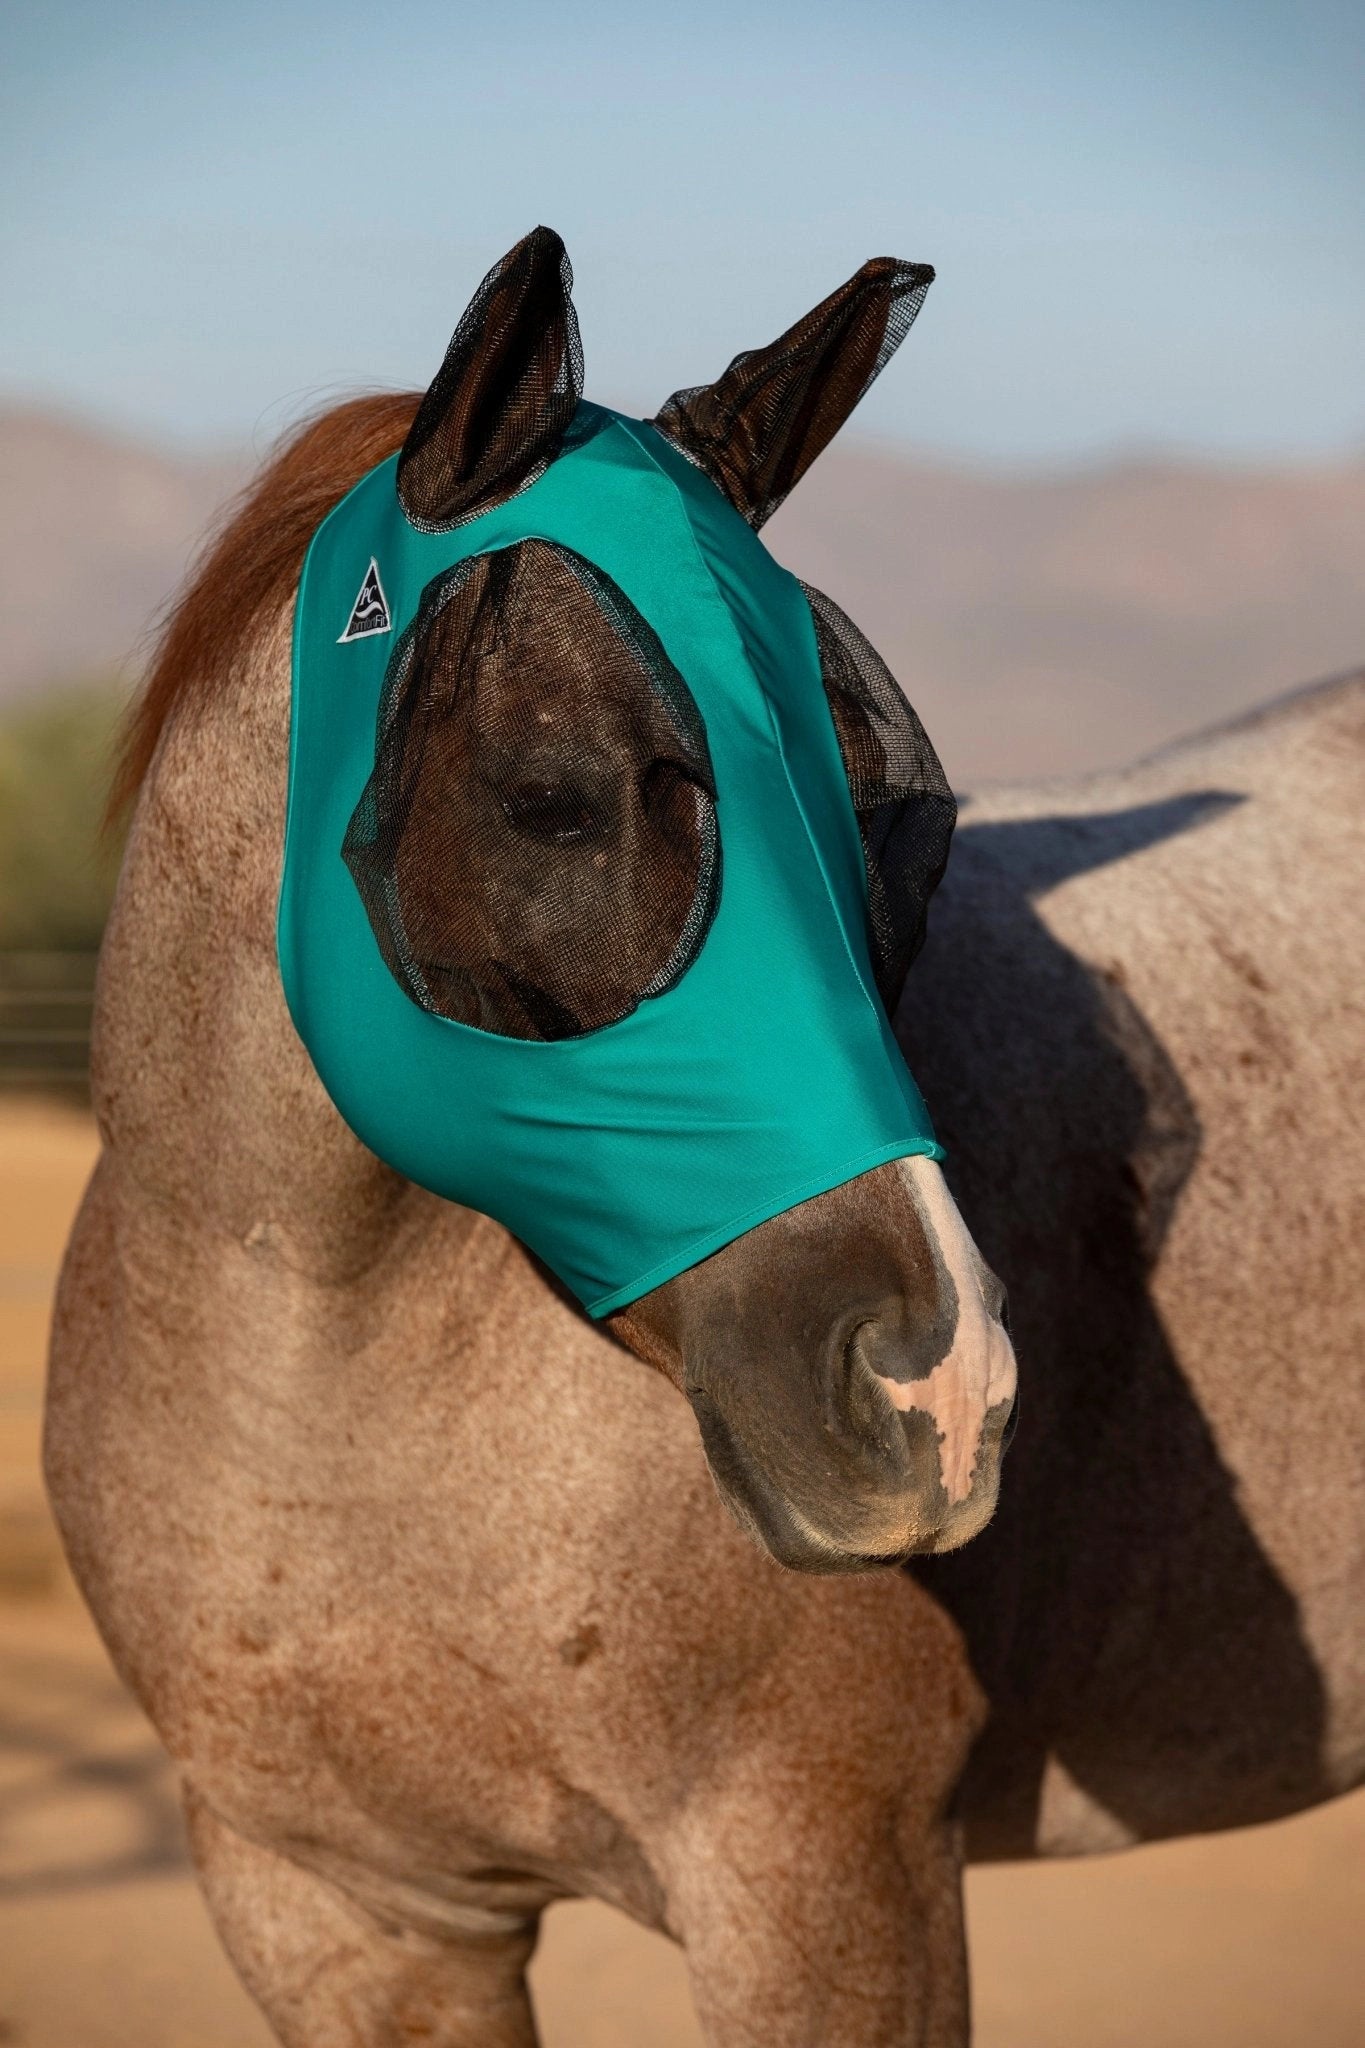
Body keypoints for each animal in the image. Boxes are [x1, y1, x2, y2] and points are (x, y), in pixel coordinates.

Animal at [45, 230, 1362, 2046]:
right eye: (552, 798)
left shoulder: (822, 1885)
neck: (320, 1427)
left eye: (904, 823)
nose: (939, 1389)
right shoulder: (343, 1913)